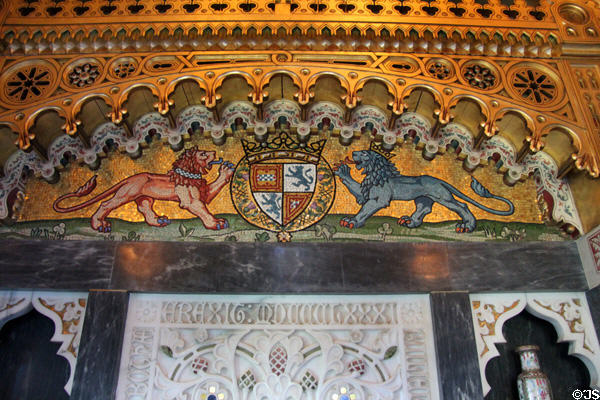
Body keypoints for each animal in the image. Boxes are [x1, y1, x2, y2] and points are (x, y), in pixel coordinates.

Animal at [336, 148, 512, 233]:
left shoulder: (379, 199)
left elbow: (365, 209)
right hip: (423, 198)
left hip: (442, 196)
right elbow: (356, 190)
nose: (353, 152)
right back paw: (410, 221)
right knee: (424, 208)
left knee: (461, 206)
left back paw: (467, 225)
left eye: (365, 153)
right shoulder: (364, 192)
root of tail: (438, 179)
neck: (375, 174)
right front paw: (343, 171)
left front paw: (352, 221)